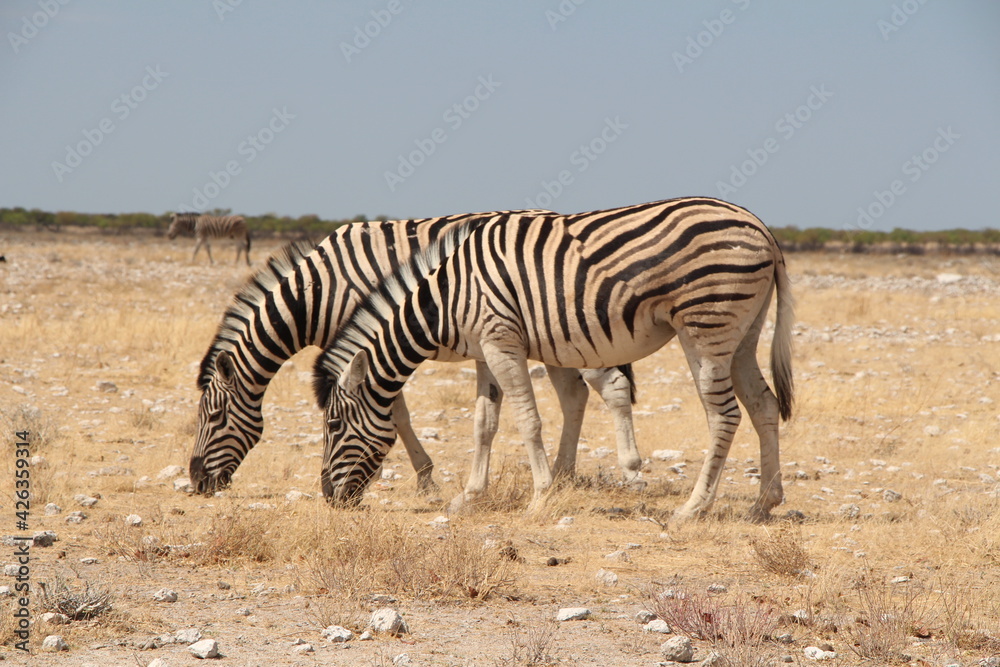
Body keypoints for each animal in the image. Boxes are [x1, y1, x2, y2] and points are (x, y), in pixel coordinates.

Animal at [187, 211, 640, 504]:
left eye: (213, 417)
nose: (196, 481)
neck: (317, 292)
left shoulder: (371, 341)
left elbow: (397, 415)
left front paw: (423, 480)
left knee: (609, 387)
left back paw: (627, 474)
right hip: (550, 341)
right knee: (575, 394)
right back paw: (565, 476)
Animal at [316, 198, 792, 520]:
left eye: (333, 425)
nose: (328, 498)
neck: (447, 298)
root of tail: (761, 227)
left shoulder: (502, 341)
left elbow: (528, 421)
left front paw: (540, 496)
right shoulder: (486, 350)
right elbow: (484, 424)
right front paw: (469, 497)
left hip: (706, 328)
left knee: (724, 415)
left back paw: (693, 508)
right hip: (744, 335)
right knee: (764, 404)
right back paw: (763, 503)